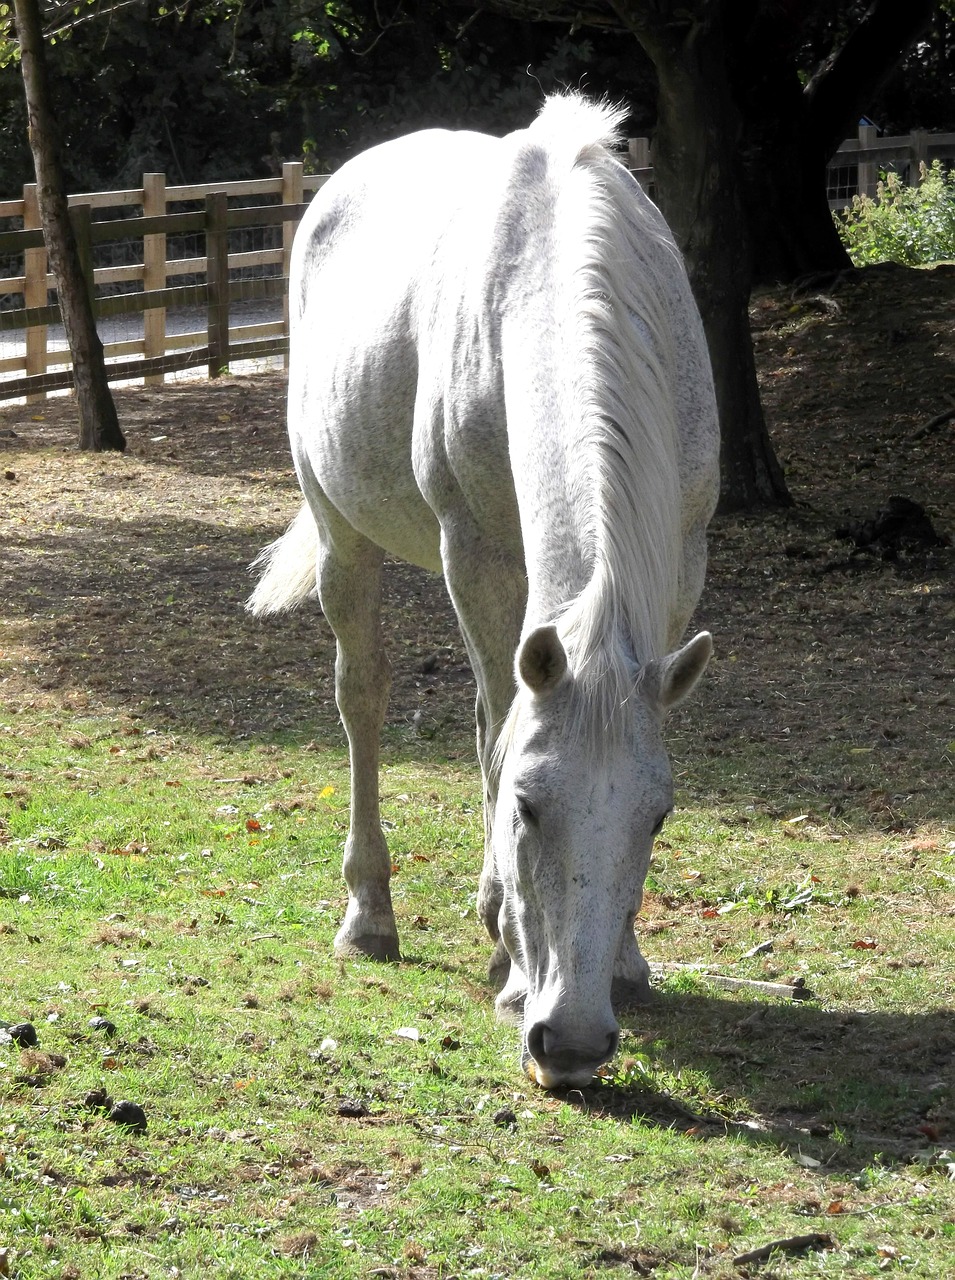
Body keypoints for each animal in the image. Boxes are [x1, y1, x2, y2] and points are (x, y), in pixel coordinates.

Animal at [249, 92, 716, 1090]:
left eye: (659, 816)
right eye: (527, 808)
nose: (571, 1043)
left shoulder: (680, 562)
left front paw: (624, 961)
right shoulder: (478, 554)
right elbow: (502, 733)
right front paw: (512, 964)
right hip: (344, 534)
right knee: (365, 699)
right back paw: (372, 917)